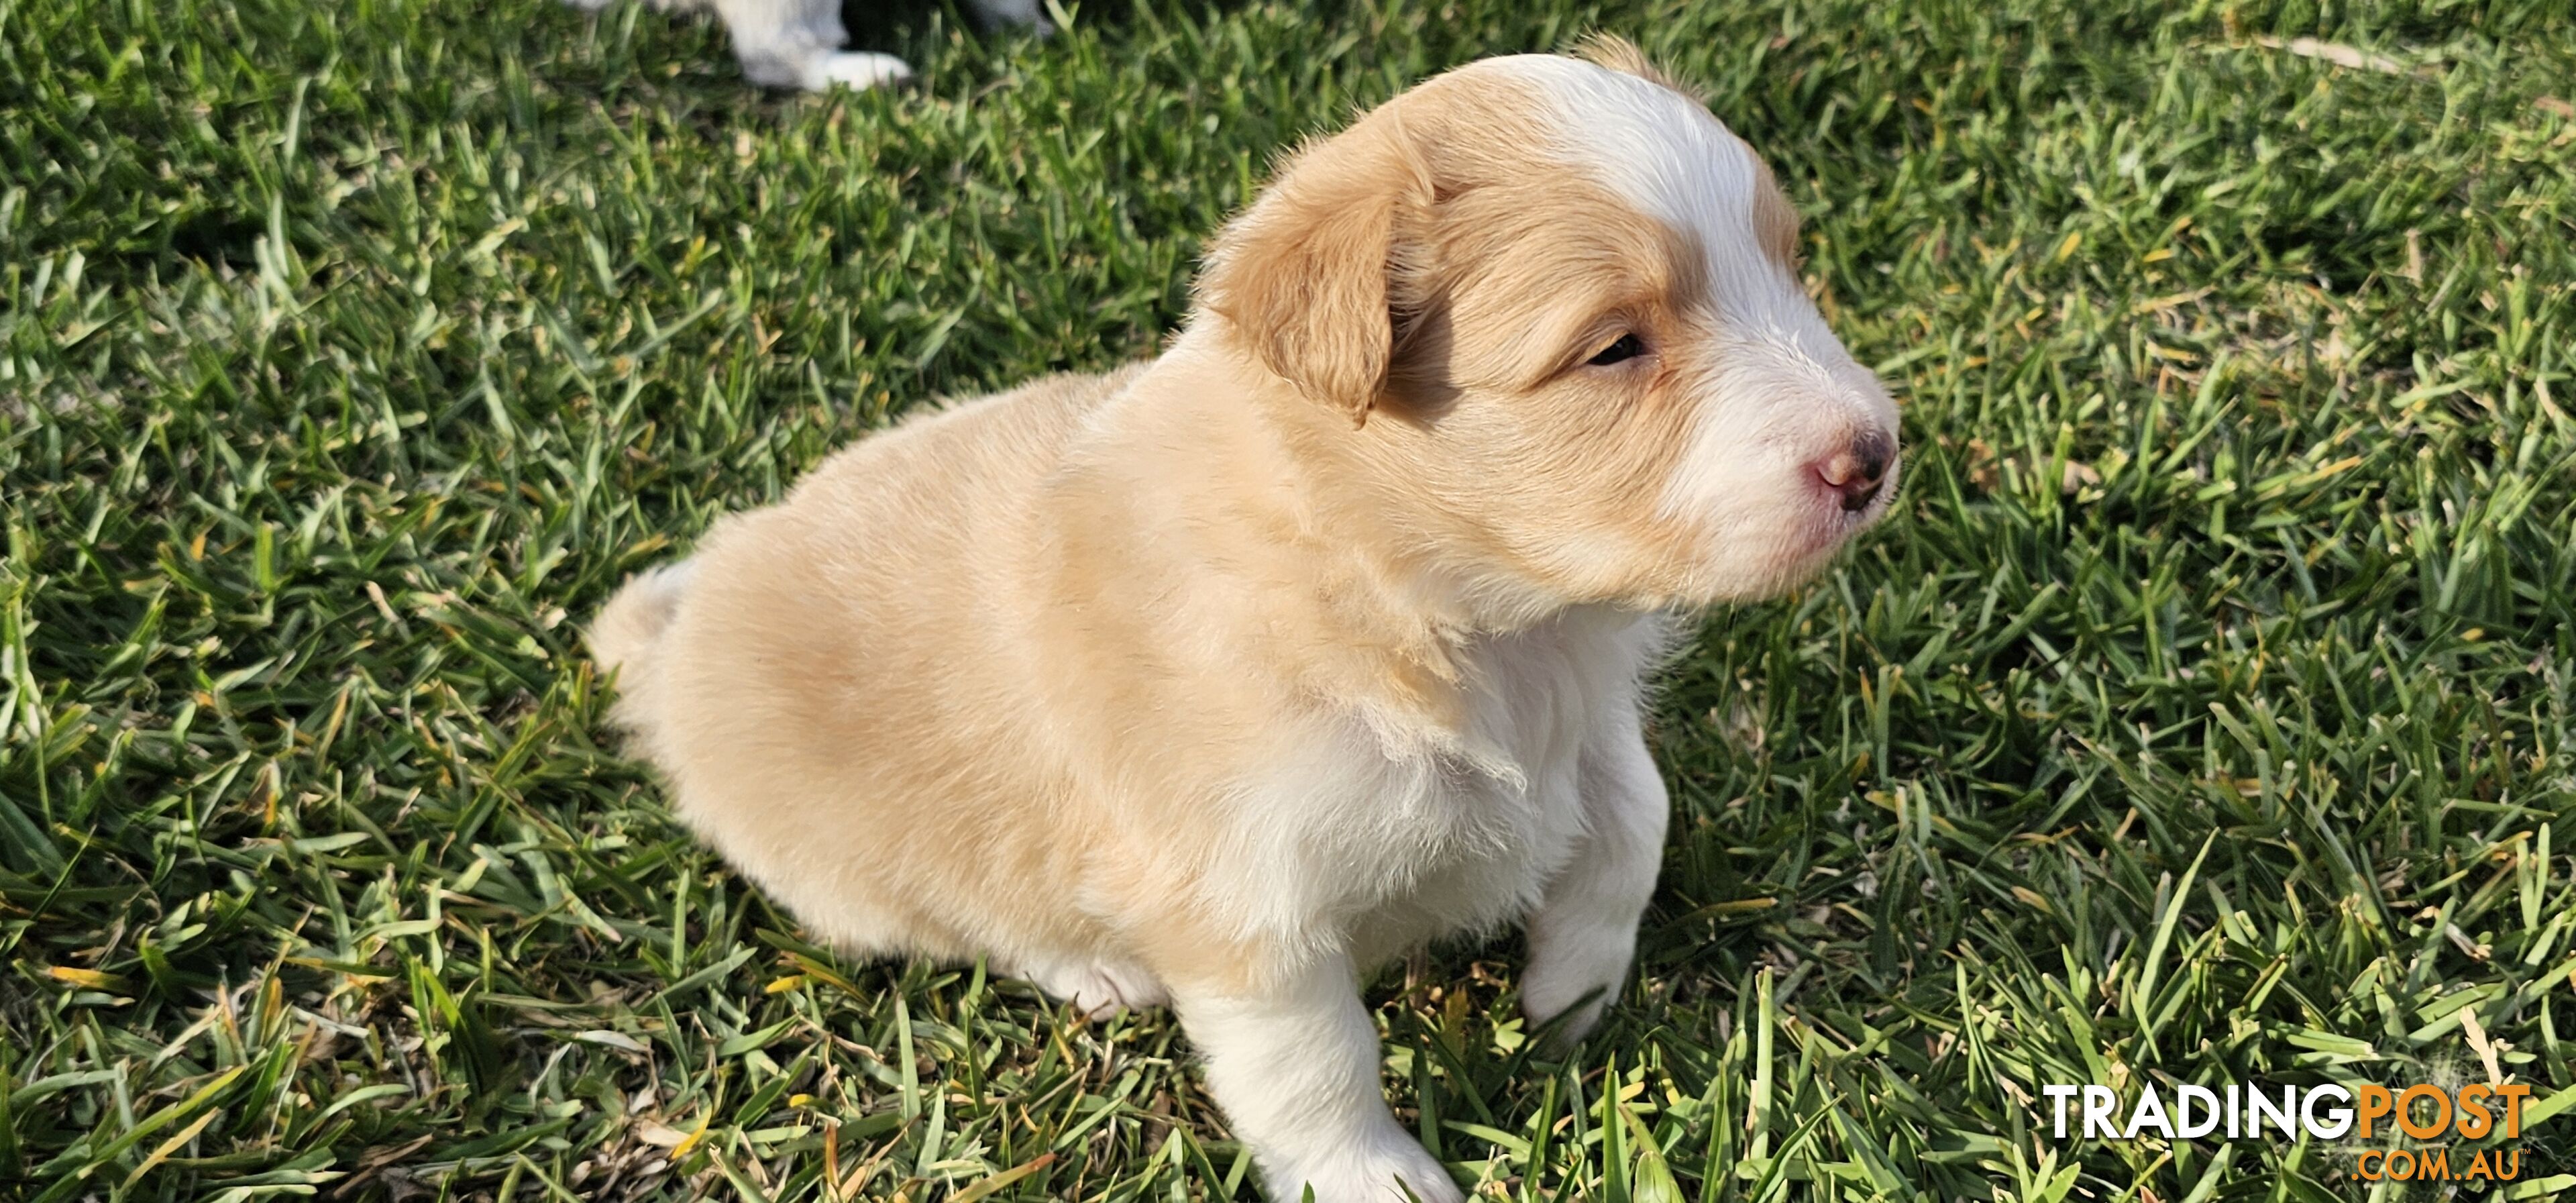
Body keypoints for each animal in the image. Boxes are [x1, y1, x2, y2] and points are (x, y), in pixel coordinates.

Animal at [592, 38, 1906, 1203]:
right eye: (1615, 346)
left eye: (1788, 265)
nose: (1875, 454)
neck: (1468, 616)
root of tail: (684, 616)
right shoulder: (1244, 904)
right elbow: (1316, 1064)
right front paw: (1374, 1178)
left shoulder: (1582, 721)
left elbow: (1637, 815)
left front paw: (1572, 994)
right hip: (857, 875)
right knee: (970, 919)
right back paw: (1096, 967)